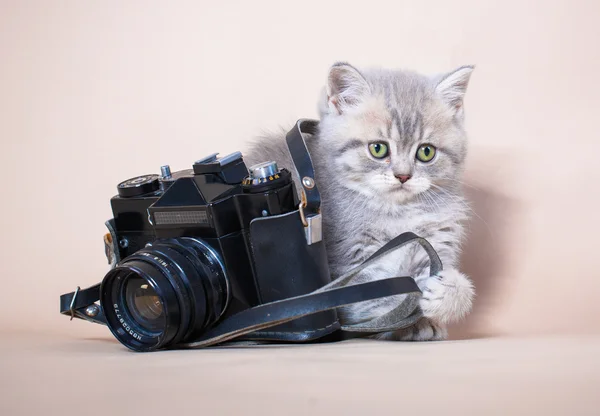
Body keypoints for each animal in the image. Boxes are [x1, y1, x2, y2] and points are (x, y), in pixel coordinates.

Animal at [241, 62, 476, 342]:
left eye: (426, 152)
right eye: (378, 149)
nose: (403, 176)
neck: (397, 212)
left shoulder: (435, 242)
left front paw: (448, 294)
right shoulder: (348, 260)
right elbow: (374, 299)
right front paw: (407, 323)